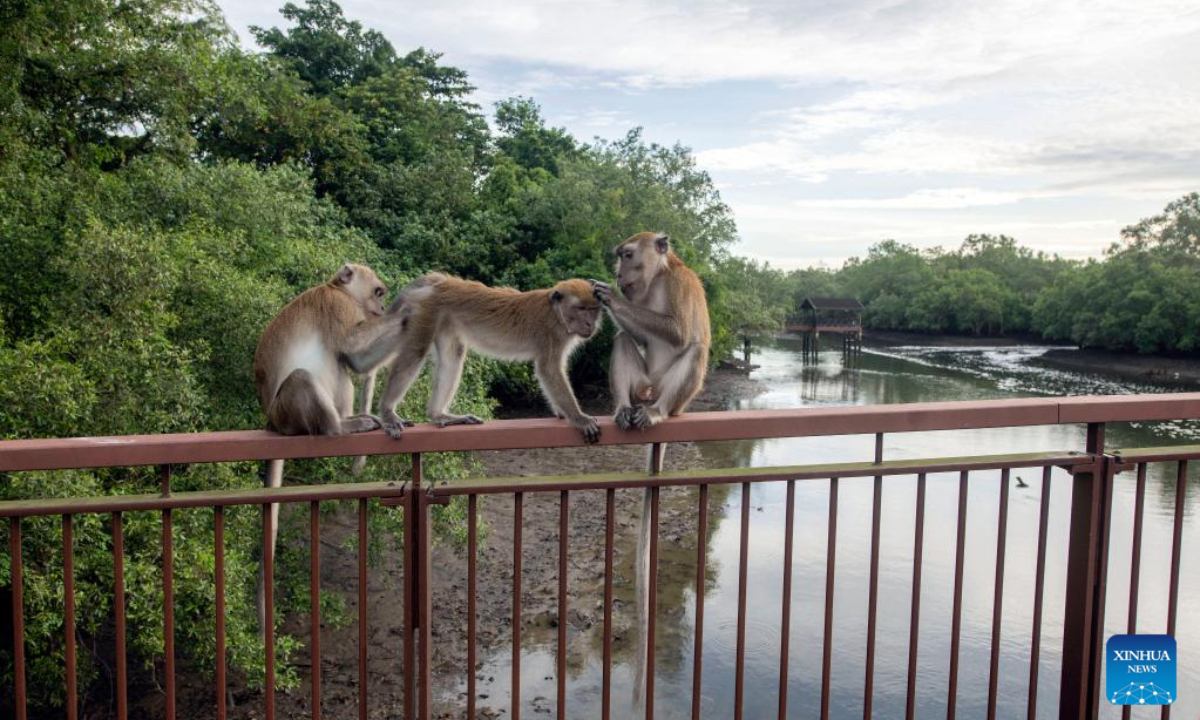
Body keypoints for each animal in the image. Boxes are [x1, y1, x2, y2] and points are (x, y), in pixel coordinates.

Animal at [250, 262, 405, 628]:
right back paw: (341, 427)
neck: (336, 289)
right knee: (306, 377)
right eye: (379, 292)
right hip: (289, 411)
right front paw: (406, 311)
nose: (381, 308)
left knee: (340, 366)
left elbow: (356, 360)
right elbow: (352, 343)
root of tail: (273, 422)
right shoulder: (339, 308)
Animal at [369, 272, 604, 444]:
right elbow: (549, 369)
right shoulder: (551, 334)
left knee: (453, 356)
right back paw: (388, 412)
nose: (590, 324)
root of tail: (438, 280)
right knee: (415, 352)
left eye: (594, 310)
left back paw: (439, 415)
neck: (556, 313)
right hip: (427, 311)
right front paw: (578, 418)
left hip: (445, 318)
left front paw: (562, 412)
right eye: (581, 308)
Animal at [592, 234, 710, 429]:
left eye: (628, 255)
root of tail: (651, 392)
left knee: (697, 350)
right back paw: (623, 408)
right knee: (622, 338)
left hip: (671, 397)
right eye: (620, 256)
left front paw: (613, 297)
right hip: (641, 386)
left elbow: (679, 332)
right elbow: (642, 339)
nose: (619, 274)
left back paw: (657, 411)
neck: (658, 278)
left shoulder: (678, 283)